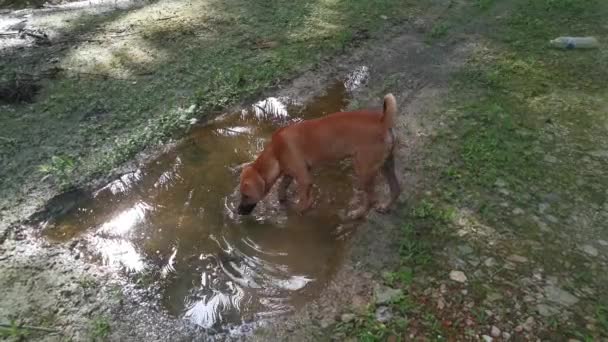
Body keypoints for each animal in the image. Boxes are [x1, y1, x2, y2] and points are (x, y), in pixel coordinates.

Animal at [239, 93, 404, 218]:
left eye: (246, 195)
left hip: (364, 170)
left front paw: (298, 212)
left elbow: (302, 202)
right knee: (396, 189)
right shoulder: (290, 173)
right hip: (386, 164)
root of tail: (382, 121)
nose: (238, 211)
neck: (275, 151)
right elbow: (282, 188)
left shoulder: (304, 179)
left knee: (371, 199)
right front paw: (283, 201)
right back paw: (385, 207)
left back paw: (358, 214)